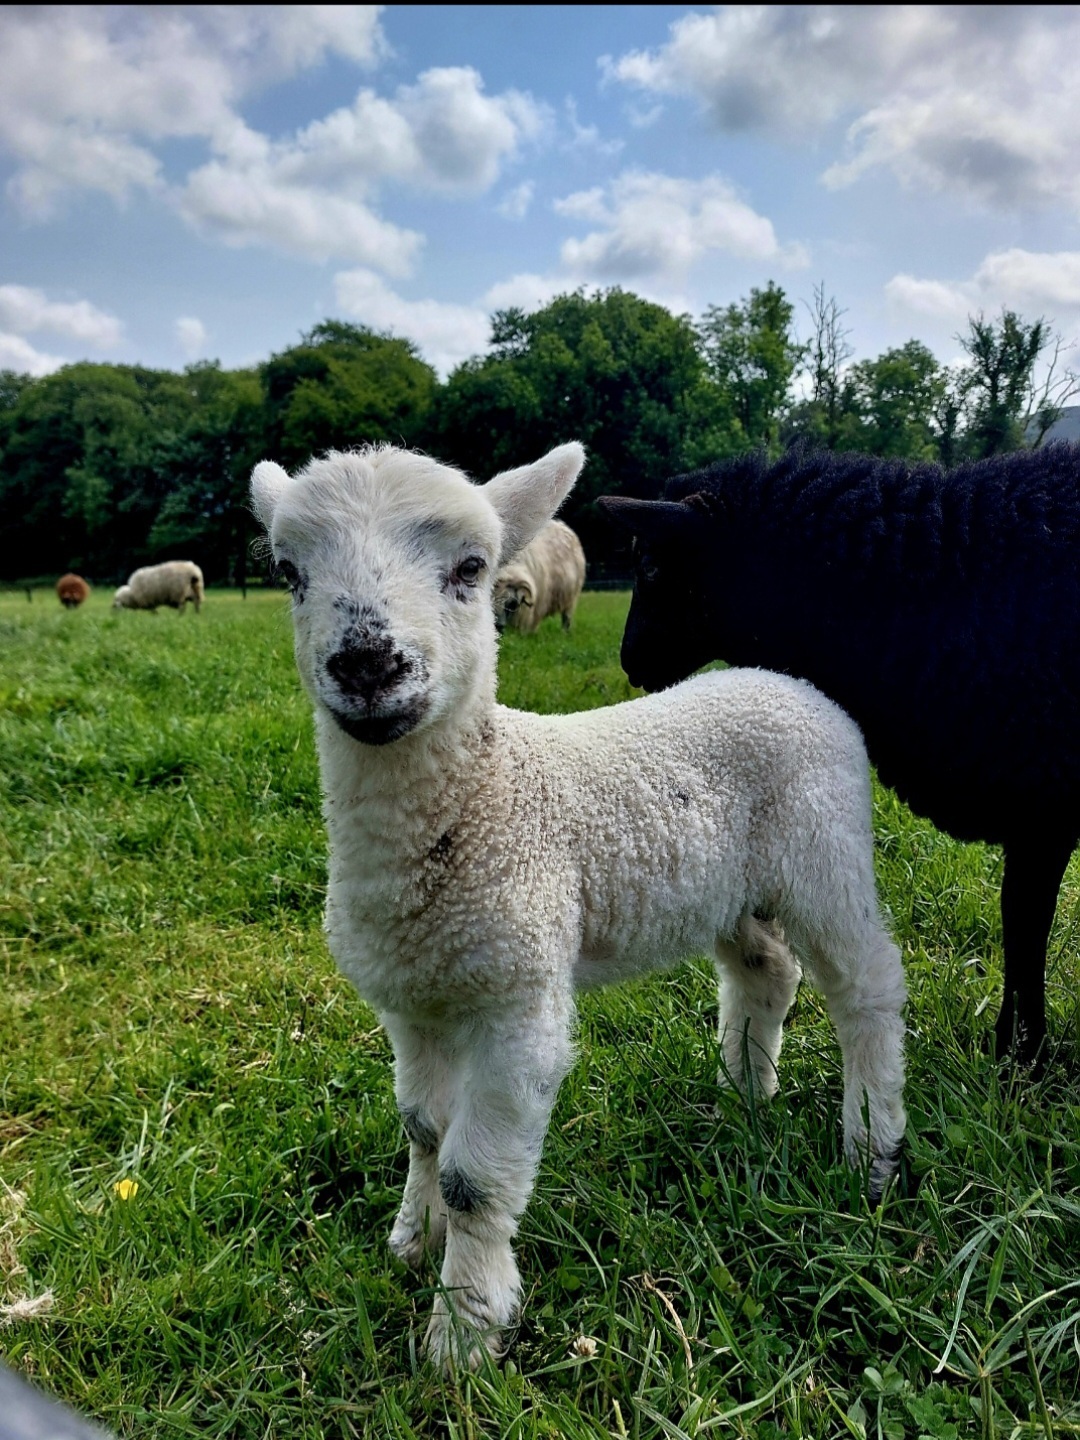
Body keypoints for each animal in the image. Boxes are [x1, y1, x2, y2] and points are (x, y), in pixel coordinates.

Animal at [250, 442, 907, 1370]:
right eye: (288, 572)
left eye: (472, 568)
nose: (368, 665)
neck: (476, 804)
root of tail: (786, 680)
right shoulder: (411, 1002)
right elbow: (421, 1128)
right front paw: (412, 1241)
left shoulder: (519, 998)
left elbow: (474, 1177)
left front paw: (463, 1335)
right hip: (730, 886)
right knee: (766, 970)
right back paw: (745, 1093)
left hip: (826, 845)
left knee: (867, 988)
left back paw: (871, 1151)